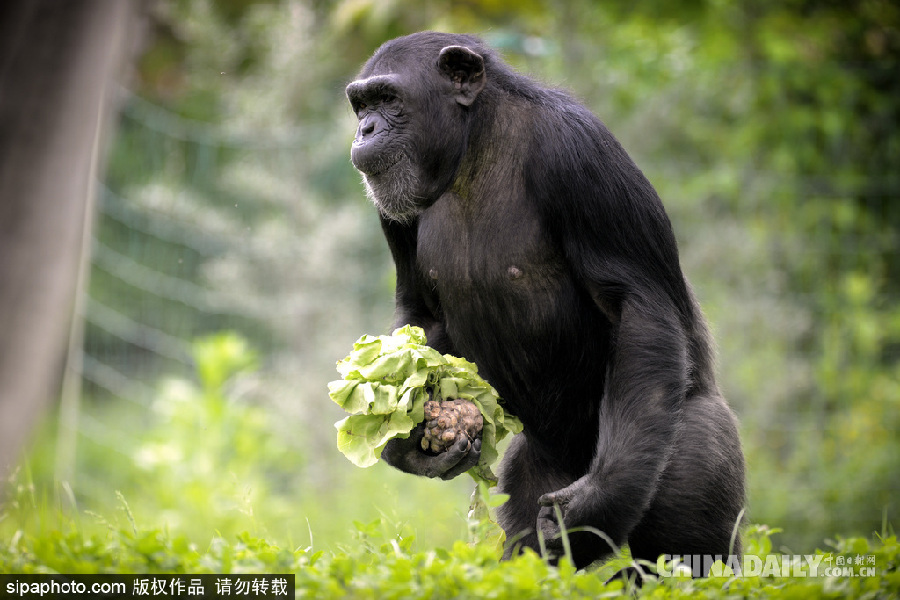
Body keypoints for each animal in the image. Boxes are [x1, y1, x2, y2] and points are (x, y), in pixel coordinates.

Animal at [344, 32, 744, 572]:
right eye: (362, 104)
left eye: (388, 99)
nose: (365, 128)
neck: (473, 147)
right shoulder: (394, 213)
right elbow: (423, 314)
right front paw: (410, 435)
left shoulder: (578, 151)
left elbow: (635, 303)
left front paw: (597, 503)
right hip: (537, 472)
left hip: (695, 447)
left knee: (689, 546)